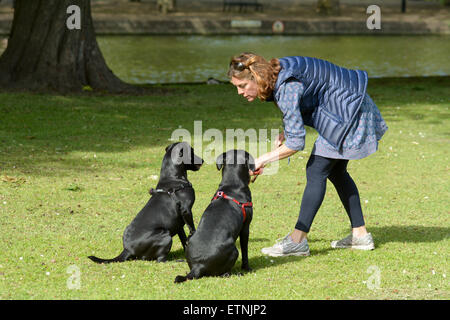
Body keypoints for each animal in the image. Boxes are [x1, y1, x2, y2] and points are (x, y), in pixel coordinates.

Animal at [175, 150, 255, 282]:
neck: (232, 185)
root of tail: (198, 266)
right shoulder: (245, 228)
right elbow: (245, 252)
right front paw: (247, 268)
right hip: (234, 250)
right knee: (223, 274)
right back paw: (236, 273)